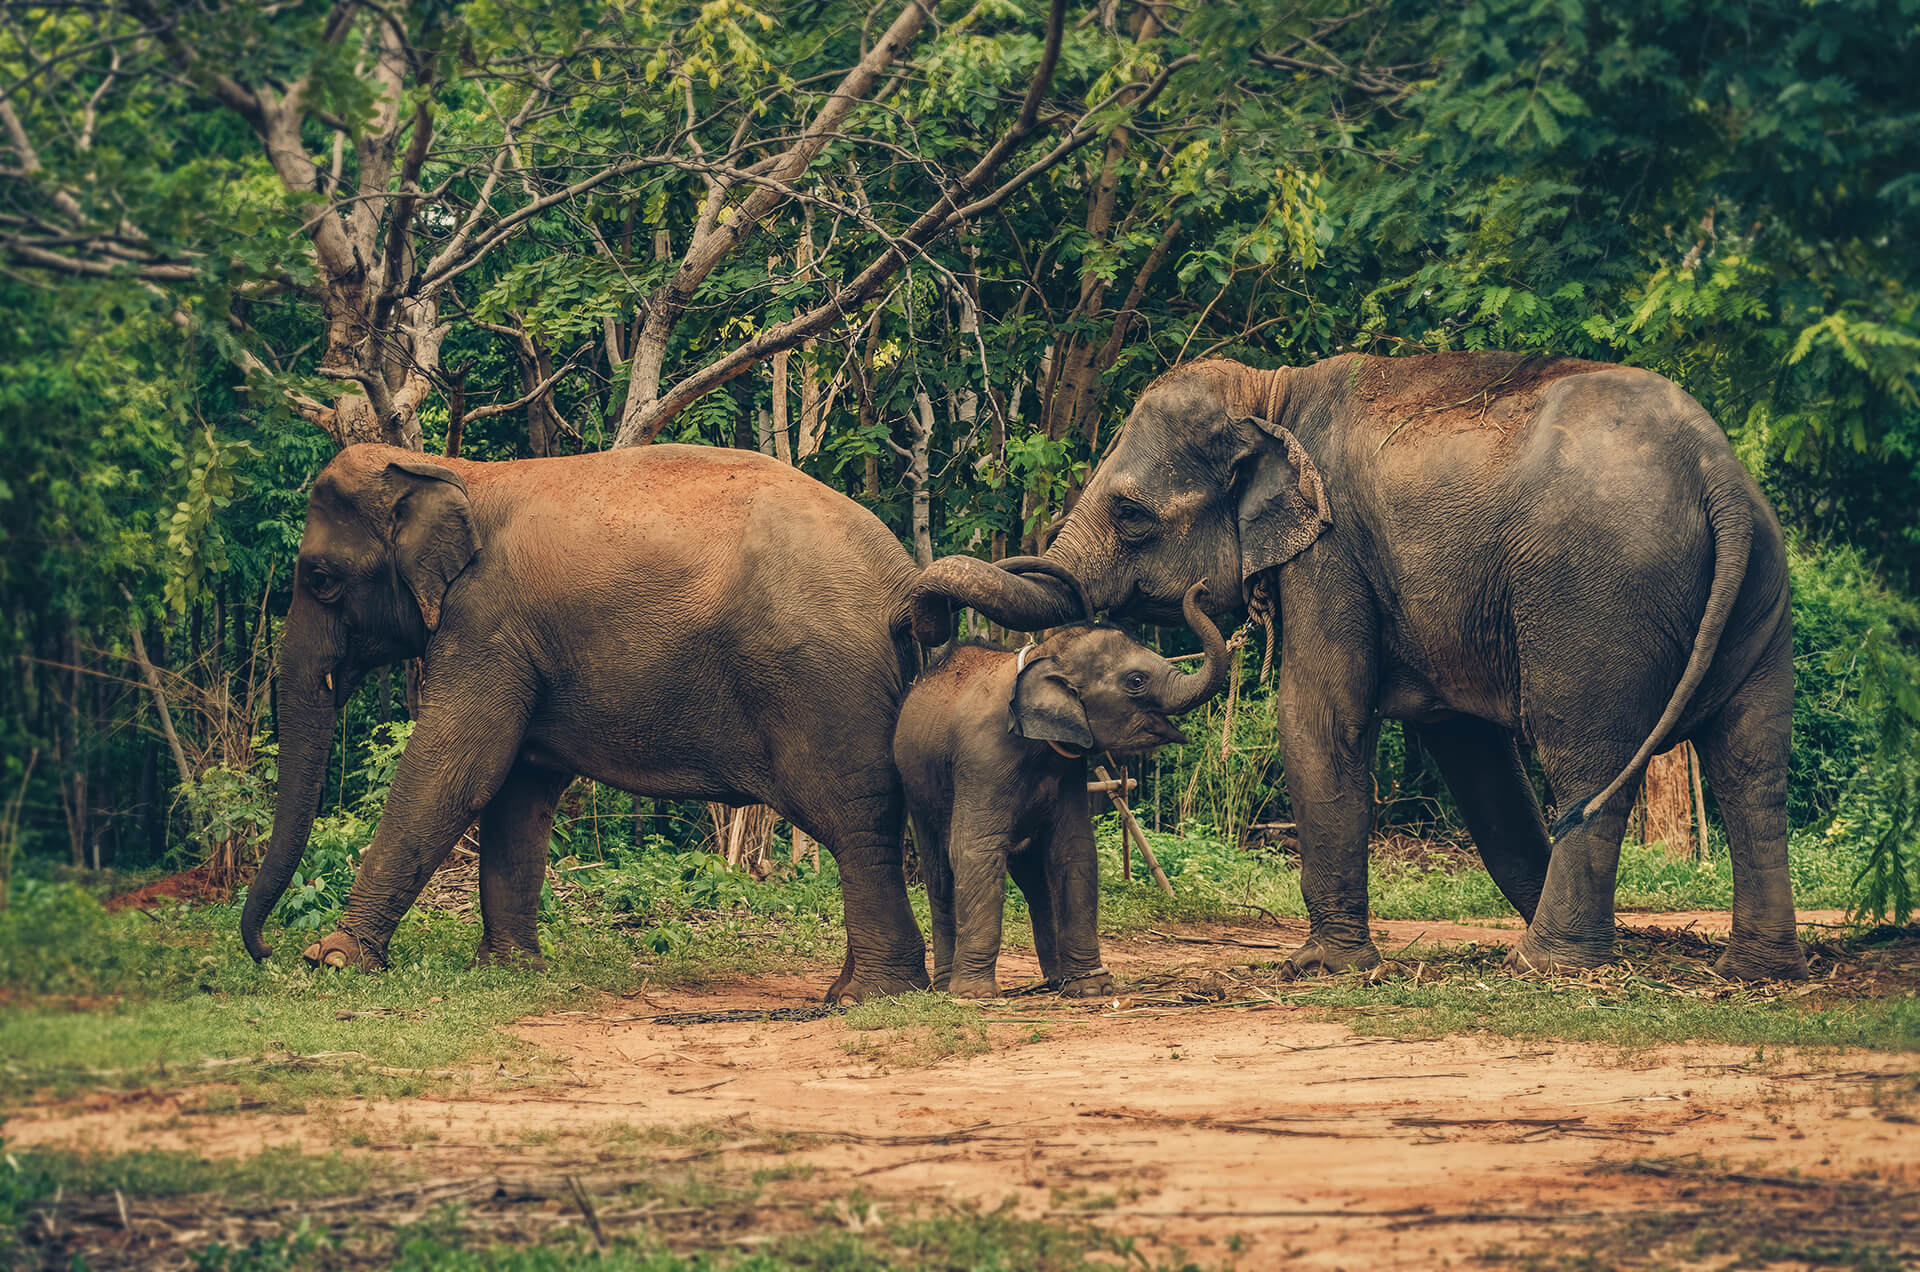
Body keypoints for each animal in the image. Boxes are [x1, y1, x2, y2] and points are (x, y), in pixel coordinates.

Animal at [243, 443, 933, 999]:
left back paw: (867, 997)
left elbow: (455, 771)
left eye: (321, 579)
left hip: (824, 685)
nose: (266, 950)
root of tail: (901, 581)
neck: (456, 471)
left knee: (857, 823)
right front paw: (508, 972)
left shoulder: (486, 629)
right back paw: (853, 990)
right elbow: (518, 793)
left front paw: (333, 960)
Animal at [894, 580, 1228, 1006]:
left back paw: (1055, 981)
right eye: (1136, 681)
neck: (1041, 657)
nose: (1200, 589)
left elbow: (1074, 849)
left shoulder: (1069, 766)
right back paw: (944, 986)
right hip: (916, 785)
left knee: (1034, 880)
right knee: (940, 871)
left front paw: (1093, 987)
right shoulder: (981, 757)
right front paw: (975, 995)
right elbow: (976, 850)